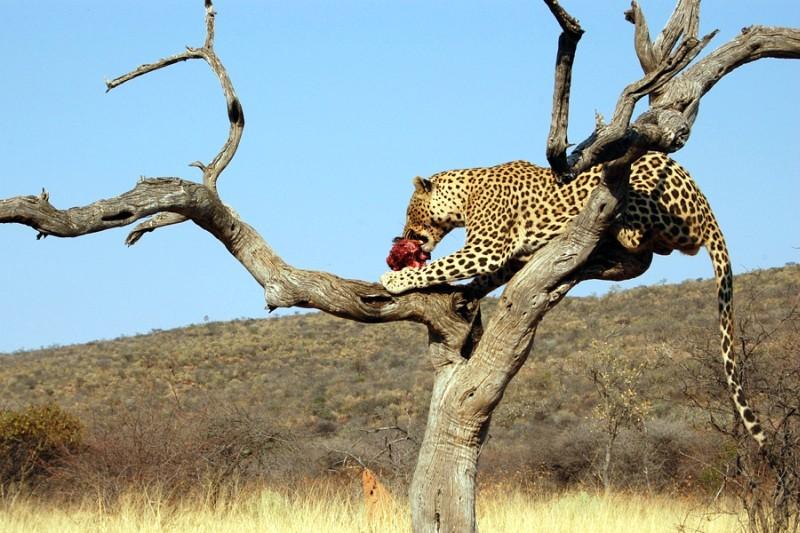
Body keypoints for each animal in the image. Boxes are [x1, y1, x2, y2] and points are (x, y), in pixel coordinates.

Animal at [380, 151, 766, 447]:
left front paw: (396, 279)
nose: (402, 235)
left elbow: (444, 265)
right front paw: (466, 293)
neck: (465, 195)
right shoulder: (510, 256)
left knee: (654, 235)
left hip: (647, 192)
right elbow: (485, 277)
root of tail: (704, 202)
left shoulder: (486, 247)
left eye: (409, 210)